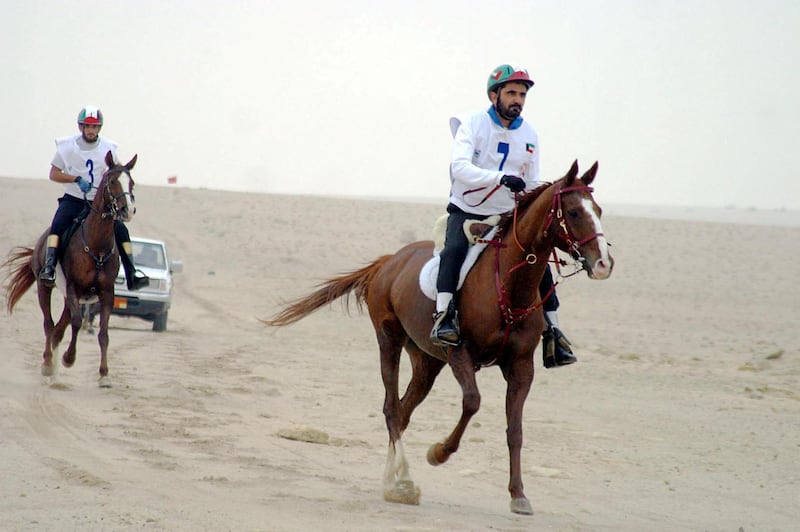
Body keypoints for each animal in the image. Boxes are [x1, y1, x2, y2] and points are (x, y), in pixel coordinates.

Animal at [2, 152, 138, 384]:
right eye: (112, 181)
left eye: (132, 183)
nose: (127, 211)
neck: (96, 245)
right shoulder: (74, 287)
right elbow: (76, 322)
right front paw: (68, 358)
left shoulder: (106, 293)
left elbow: (103, 333)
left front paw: (104, 375)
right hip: (45, 287)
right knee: (49, 324)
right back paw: (48, 364)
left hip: (70, 297)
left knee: (58, 329)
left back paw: (54, 370)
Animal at [266, 160, 616, 512]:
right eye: (574, 212)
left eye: (599, 209)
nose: (603, 264)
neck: (507, 285)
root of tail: (389, 261)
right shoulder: (460, 353)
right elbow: (472, 402)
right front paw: (438, 452)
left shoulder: (520, 366)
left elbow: (515, 430)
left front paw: (518, 494)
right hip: (389, 340)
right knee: (392, 408)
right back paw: (403, 481)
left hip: (426, 362)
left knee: (404, 411)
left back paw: (393, 480)